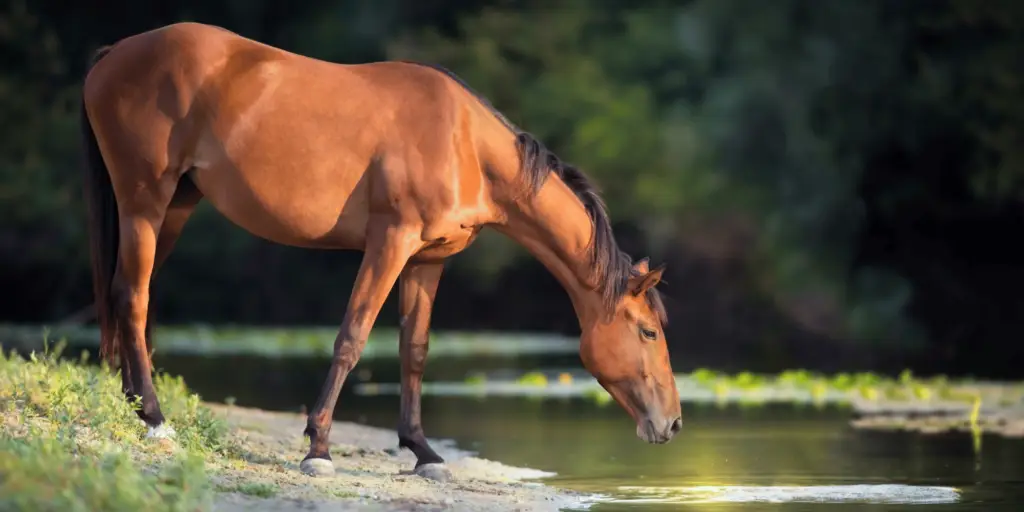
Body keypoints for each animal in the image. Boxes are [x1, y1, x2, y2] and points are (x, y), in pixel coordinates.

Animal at [79, 22, 679, 477]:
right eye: (648, 332)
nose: (672, 423)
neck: (465, 145)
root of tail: (116, 53)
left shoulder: (429, 259)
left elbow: (414, 350)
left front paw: (424, 452)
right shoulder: (390, 241)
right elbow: (353, 336)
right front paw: (319, 448)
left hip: (175, 206)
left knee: (131, 298)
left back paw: (136, 406)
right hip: (145, 201)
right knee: (133, 296)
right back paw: (156, 420)